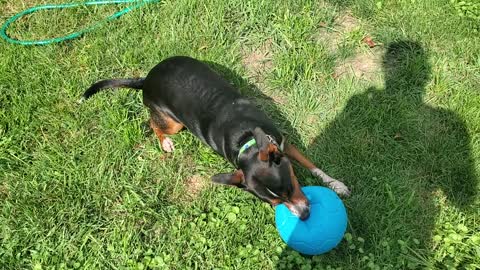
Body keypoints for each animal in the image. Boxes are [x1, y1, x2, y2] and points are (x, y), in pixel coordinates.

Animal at [82, 56, 348, 220]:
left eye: (291, 187)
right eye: (275, 204)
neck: (246, 142)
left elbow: (311, 165)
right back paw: (165, 142)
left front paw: (336, 184)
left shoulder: (283, 143)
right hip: (173, 122)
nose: (304, 216)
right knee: (152, 123)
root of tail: (146, 78)